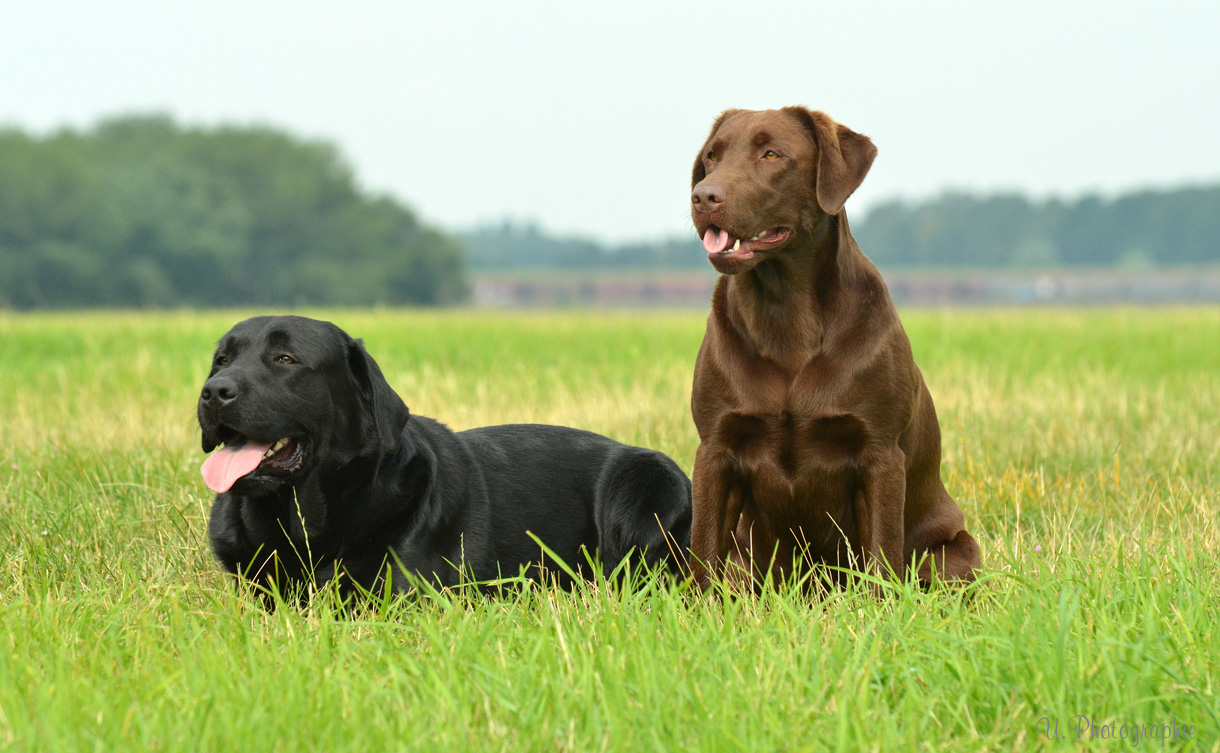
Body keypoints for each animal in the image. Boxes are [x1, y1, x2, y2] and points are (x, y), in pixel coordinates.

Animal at [688, 105, 980, 588]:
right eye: (712, 156)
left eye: (771, 154)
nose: (703, 196)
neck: (785, 314)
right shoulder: (716, 449)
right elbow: (703, 553)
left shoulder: (880, 454)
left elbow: (881, 555)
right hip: (746, 557)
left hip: (954, 551)